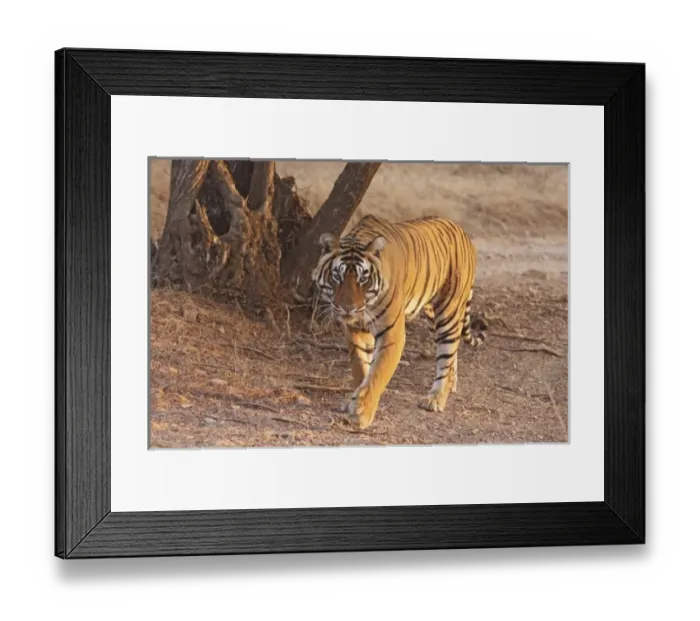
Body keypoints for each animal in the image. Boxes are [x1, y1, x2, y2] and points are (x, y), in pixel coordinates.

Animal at [311, 214, 486, 430]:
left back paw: (436, 398)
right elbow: (361, 367)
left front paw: (362, 413)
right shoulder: (355, 330)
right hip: (432, 317)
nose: (347, 308)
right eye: (337, 276)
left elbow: (377, 374)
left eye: (363, 279)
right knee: (454, 348)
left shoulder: (391, 332)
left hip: (449, 311)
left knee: (446, 354)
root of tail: (463, 233)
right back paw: (451, 383)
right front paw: (354, 398)